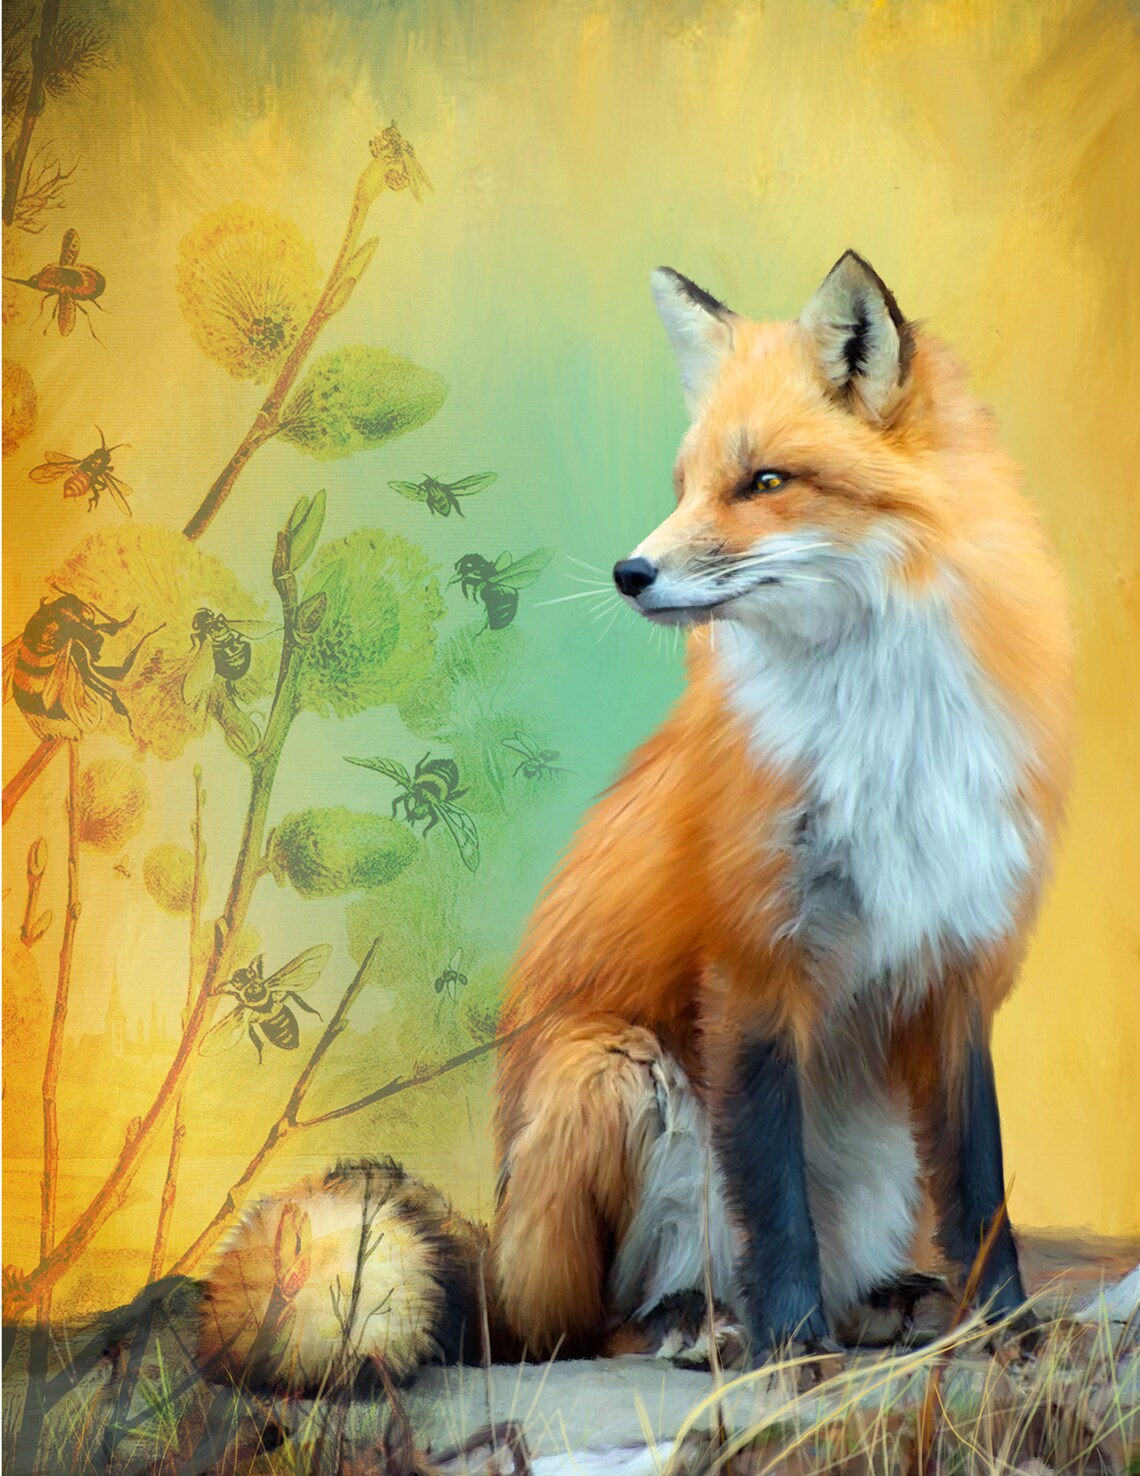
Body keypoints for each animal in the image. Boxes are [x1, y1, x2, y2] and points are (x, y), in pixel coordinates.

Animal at [197, 251, 1073, 1391]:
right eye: (686, 486)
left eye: (765, 482)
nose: (628, 574)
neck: (888, 732)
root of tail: (502, 1267)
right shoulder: (752, 964)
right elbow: (775, 1204)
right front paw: (796, 1352)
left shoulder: (957, 968)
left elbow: (983, 1191)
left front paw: (1007, 1332)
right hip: (608, 1073)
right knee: (580, 1331)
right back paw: (700, 1326)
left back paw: (883, 1303)